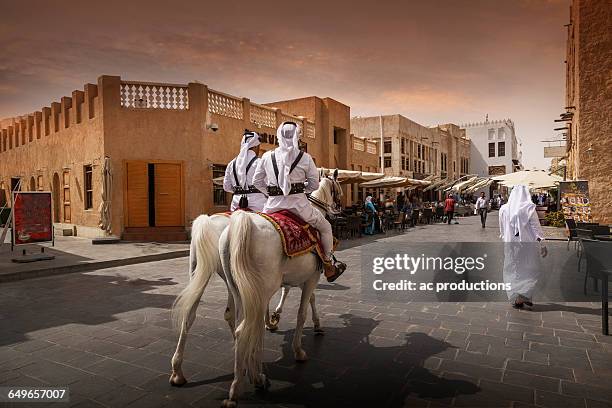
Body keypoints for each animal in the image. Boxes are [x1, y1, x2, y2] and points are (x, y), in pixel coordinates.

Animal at [170, 175, 342, 386]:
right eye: (337, 189)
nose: (337, 208)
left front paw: (274, 319)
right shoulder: (309, 275)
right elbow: (305, 303)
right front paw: (306, 333)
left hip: (206, 275)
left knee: (197, 315)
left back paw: (180, 371)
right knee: (245, 318)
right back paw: (251, 367)